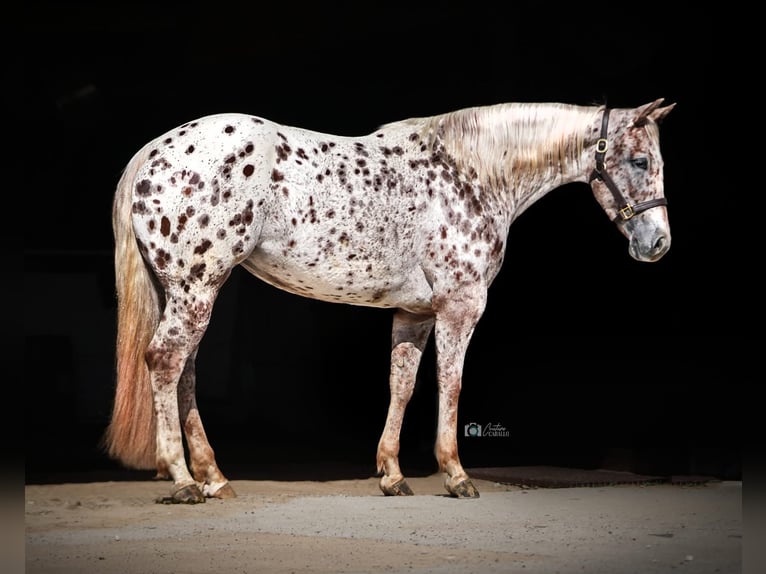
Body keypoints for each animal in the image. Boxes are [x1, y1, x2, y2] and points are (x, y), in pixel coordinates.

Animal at [105, 99, 676, 504]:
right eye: (640, 159)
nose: (657, 244)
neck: (470, 173)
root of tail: (154, 150)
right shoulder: (459, 308)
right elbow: (451, 384)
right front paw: (455, 474)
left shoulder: (414, 313)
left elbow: (401, 385)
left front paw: (392, 474)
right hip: (196, 289)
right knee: (166, 363)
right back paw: (182, 480)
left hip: (188, 292)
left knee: (185, 373)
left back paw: (214, 477)